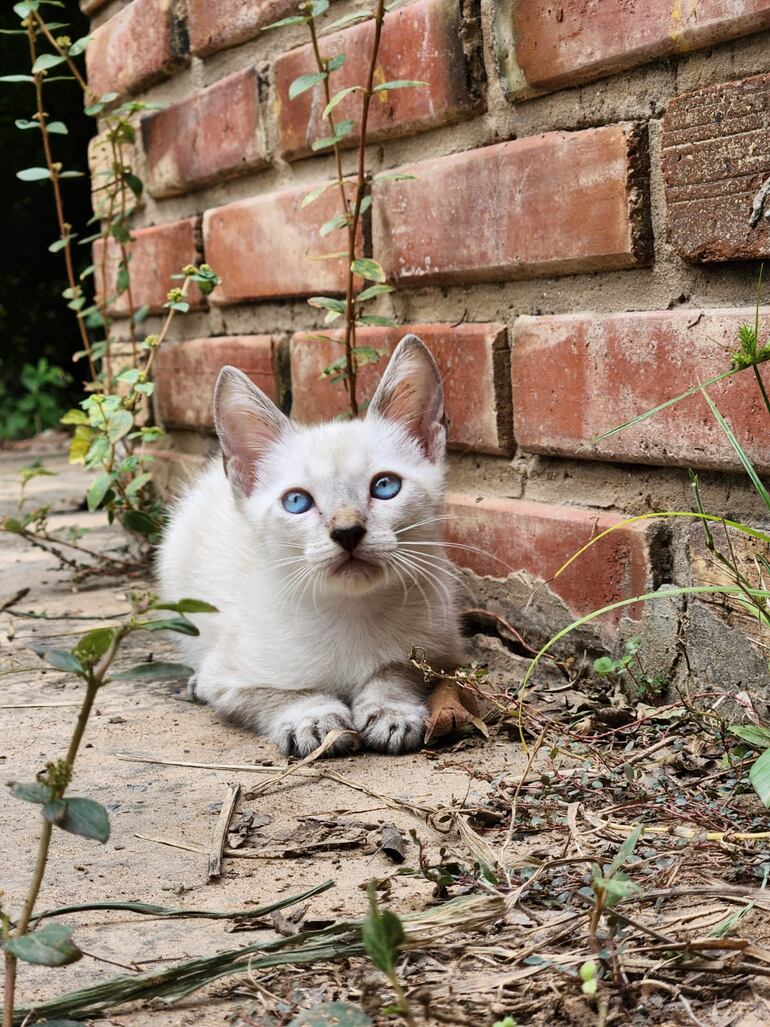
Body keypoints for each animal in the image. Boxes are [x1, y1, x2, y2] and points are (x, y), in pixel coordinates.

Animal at [154, 334, 462, 755]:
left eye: (385, 486)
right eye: (297, 501)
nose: (347, 531)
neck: (351, 614)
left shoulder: (442, 648)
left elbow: (397, 670)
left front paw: (390, 710)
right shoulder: (231, 677)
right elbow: (280, 692)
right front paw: (313, 718)